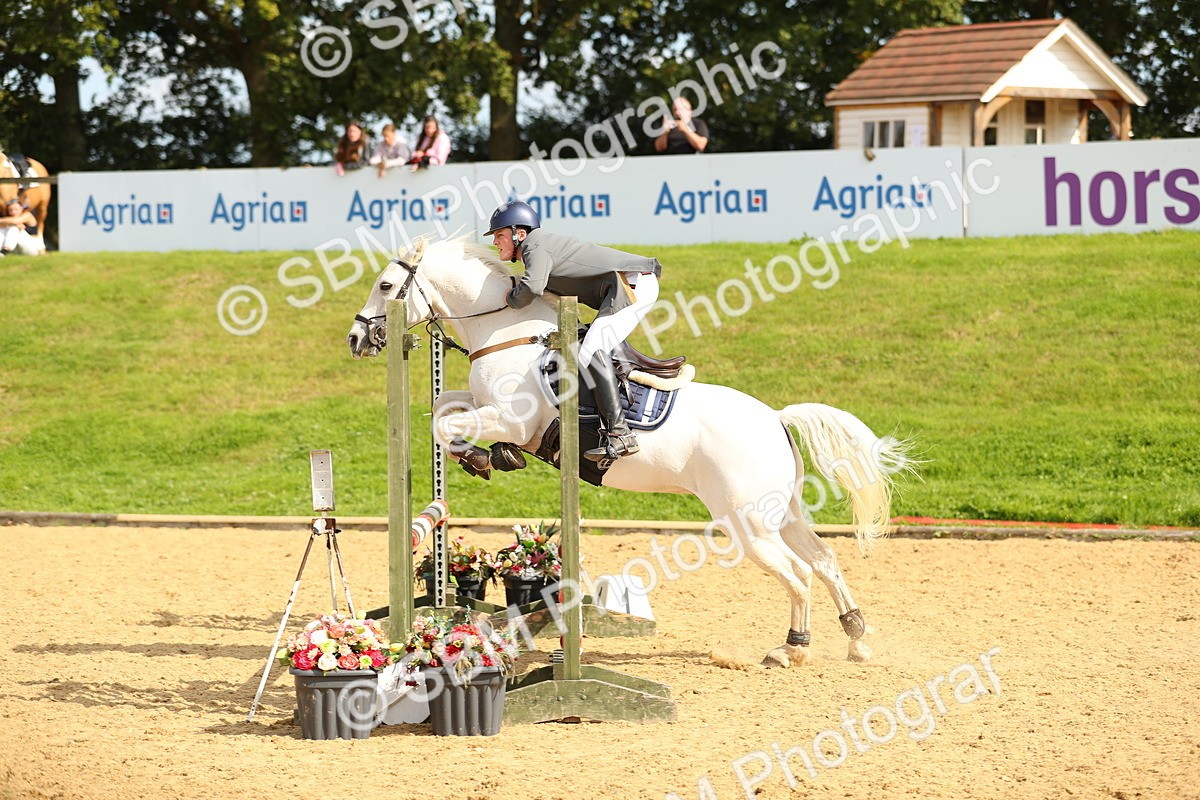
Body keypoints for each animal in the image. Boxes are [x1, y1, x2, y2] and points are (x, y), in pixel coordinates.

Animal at [347, 237, 914, 667]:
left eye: (385, 287)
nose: (356, 339)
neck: (506, 335)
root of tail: (775, 419)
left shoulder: (513, 417)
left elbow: (450, 423)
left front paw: (486, 457)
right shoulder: (487, 406)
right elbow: (445, 406)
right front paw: (489, 455)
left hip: (747, 523)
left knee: (798, 574)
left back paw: (792, 649)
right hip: (782, 511)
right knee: (824, 560)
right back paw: (856, 637)